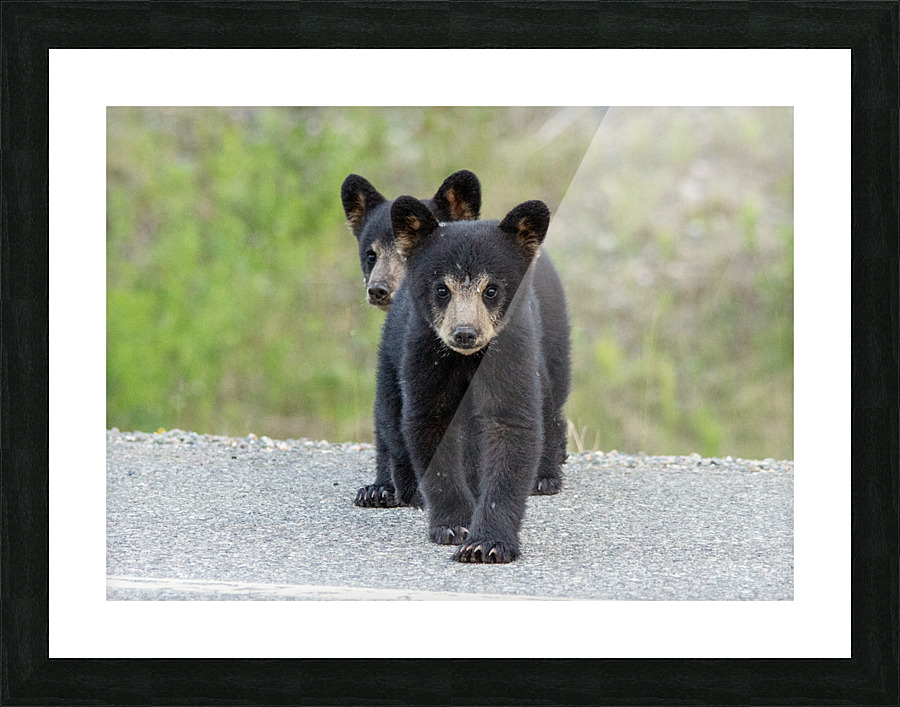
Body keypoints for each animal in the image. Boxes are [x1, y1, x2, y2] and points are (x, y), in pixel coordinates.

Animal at [373, 195, 570, 562]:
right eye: (442, 289)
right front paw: (453, 524)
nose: (465, 333)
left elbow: (512, 426)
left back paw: (546, 475)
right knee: (390, 416)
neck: (467, 361)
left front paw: (488, 542)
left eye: (490, 289)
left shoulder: (512, 351)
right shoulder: (425, 355)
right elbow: (430, 425)